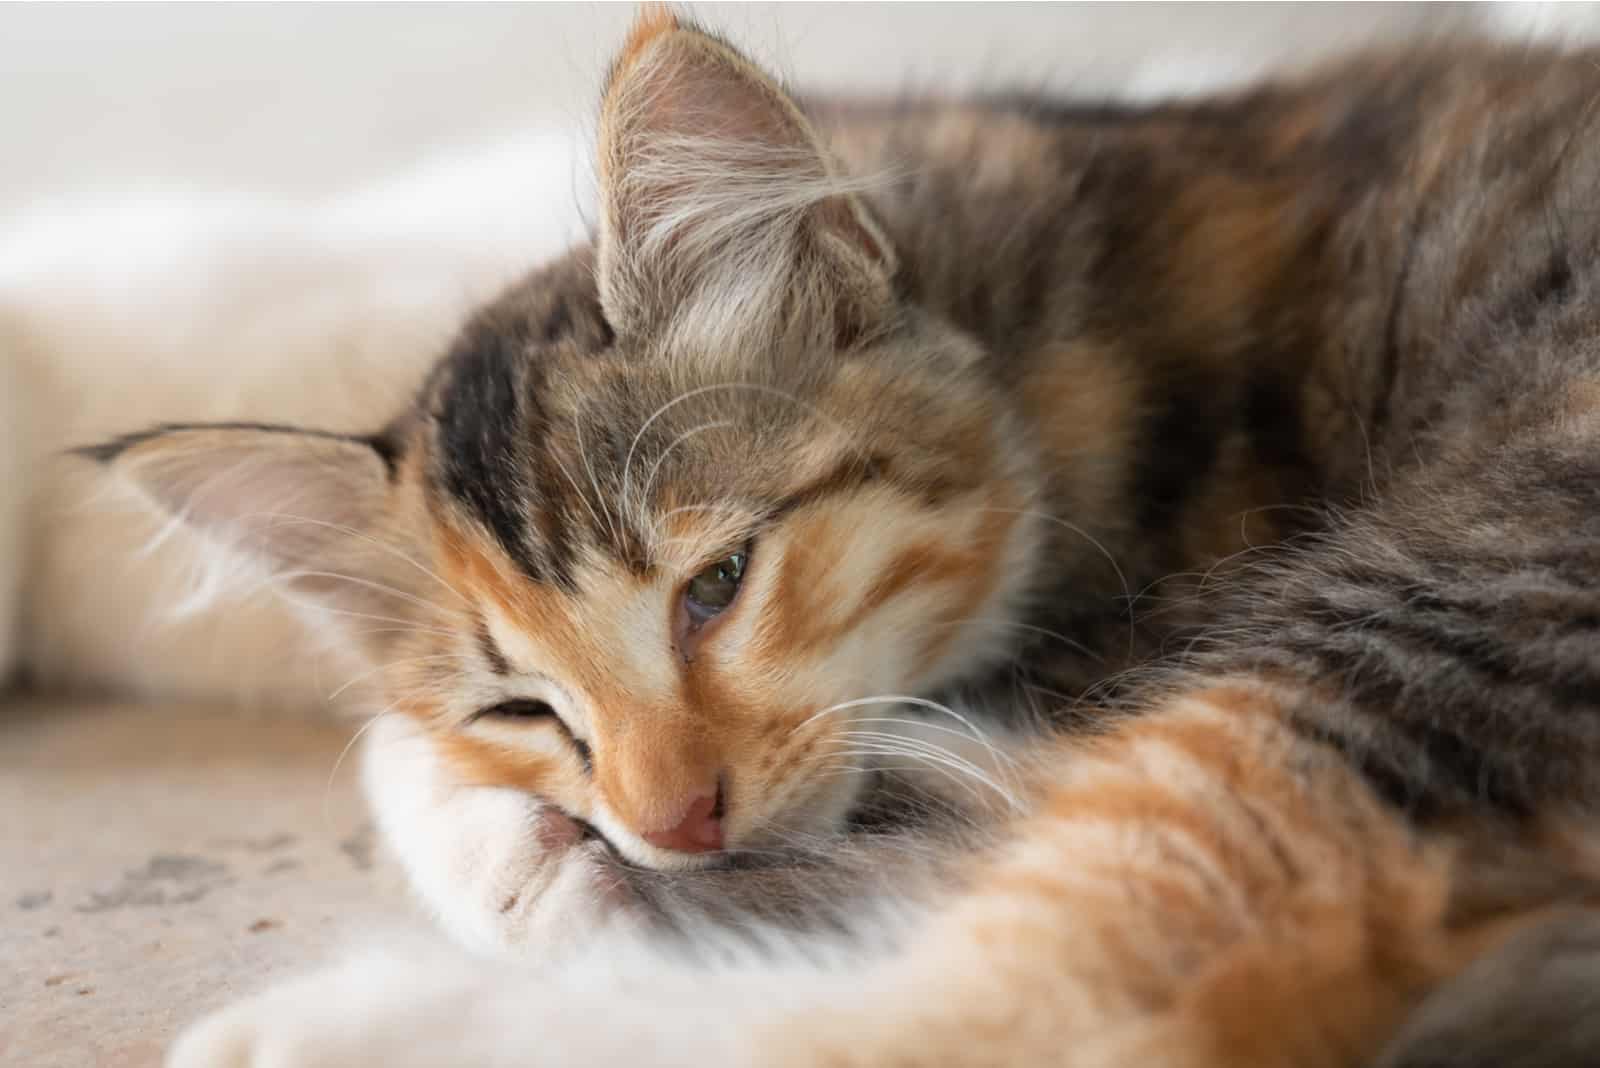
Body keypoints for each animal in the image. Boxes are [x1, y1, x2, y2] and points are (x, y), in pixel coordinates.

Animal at [90, 10, 1600, 1068]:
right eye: (523, 705)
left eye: (717, 586)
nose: (673, 823)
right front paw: (530, 844)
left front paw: (539, 877)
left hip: (1480, 571)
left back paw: (363, 1025)